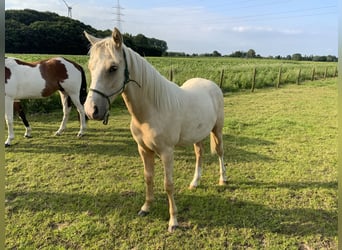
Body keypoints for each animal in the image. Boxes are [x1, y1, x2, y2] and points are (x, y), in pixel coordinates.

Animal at [84, 27, 226, 232]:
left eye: (113, 68)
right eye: (90, 67)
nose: (91, 110)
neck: (152, 110)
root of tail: (212, 84)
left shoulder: (167, 152)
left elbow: (168, 184)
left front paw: (173, 221)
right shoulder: (143, 150)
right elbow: (148, 177)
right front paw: (146, 208)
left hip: (217, 129)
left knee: (221, 152)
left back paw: (223, 180)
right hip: (198, 135)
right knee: (200, 154)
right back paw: (195, 182)